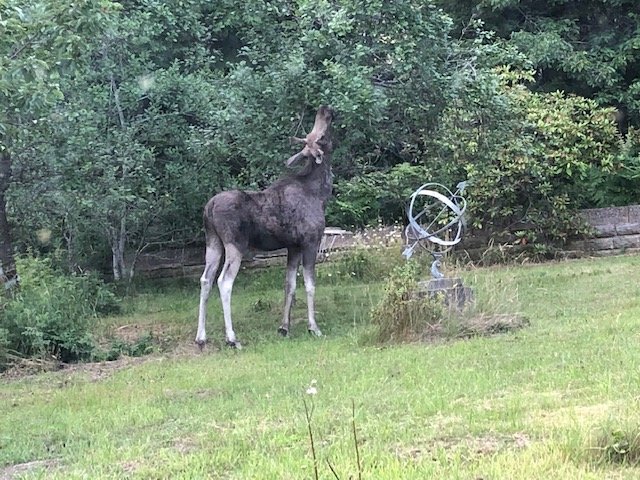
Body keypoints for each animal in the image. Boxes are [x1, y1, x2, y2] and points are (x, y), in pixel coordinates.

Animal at [195, 105, 336, 346]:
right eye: (323, 137)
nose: (325, 110)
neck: (320, 194)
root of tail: (209, 208)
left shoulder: (293, 246)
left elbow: (289, 285)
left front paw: (284, 327)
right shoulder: (310, 241)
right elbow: (310, 285)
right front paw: (313, 327)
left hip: (213, 242)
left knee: (206, 279)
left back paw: (201, 336)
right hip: (235, 244)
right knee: (224, 282)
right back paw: (232, 338)